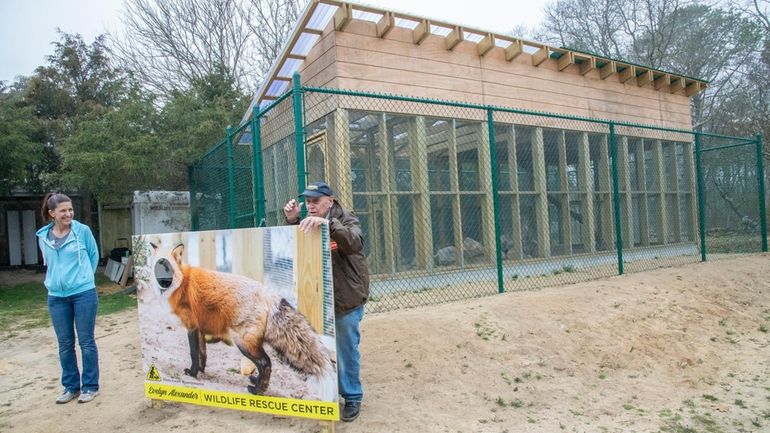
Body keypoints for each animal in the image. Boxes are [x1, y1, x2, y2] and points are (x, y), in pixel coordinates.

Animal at [150, 241, 330, 394]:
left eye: (168, 268)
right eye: (157, 267)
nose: (162, 282)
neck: (182, 283)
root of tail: (267, 293)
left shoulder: (191, 327)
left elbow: (194, 354)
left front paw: (192, 374)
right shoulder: (200, 328)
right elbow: (203, 354)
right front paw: (200, 371)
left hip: (242, 342)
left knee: (266, 363)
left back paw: (257, 390)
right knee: (265, 364)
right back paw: (256, 382)